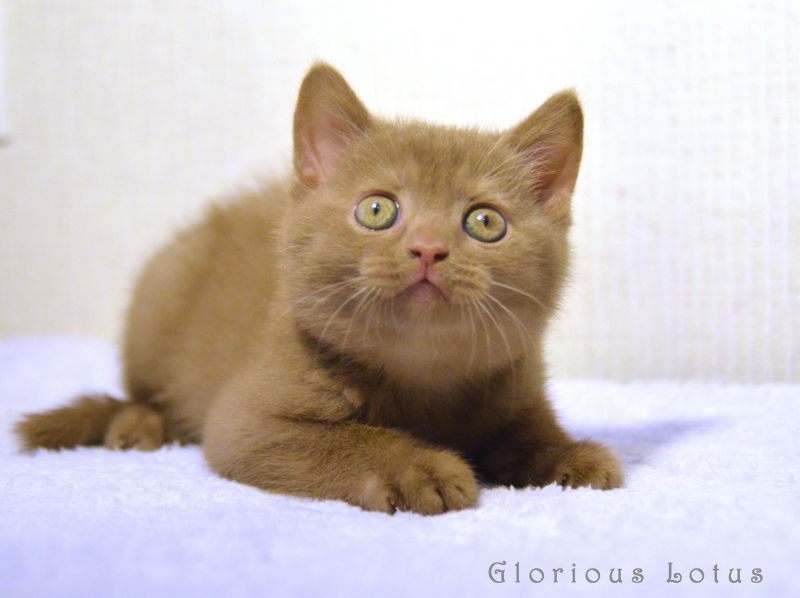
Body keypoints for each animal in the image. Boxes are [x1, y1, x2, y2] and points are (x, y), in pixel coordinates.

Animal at [15, 63, 623, 514]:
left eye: (485, 223)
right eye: (377, 210)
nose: (428, 248)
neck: (422, 377)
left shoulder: (517, 389)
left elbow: (526, 437)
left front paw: (571, 456)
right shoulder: (246, 421)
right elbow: (344, 441)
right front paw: (419, 467)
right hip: (158, 295)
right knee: (140, 391)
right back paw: (137, 426)